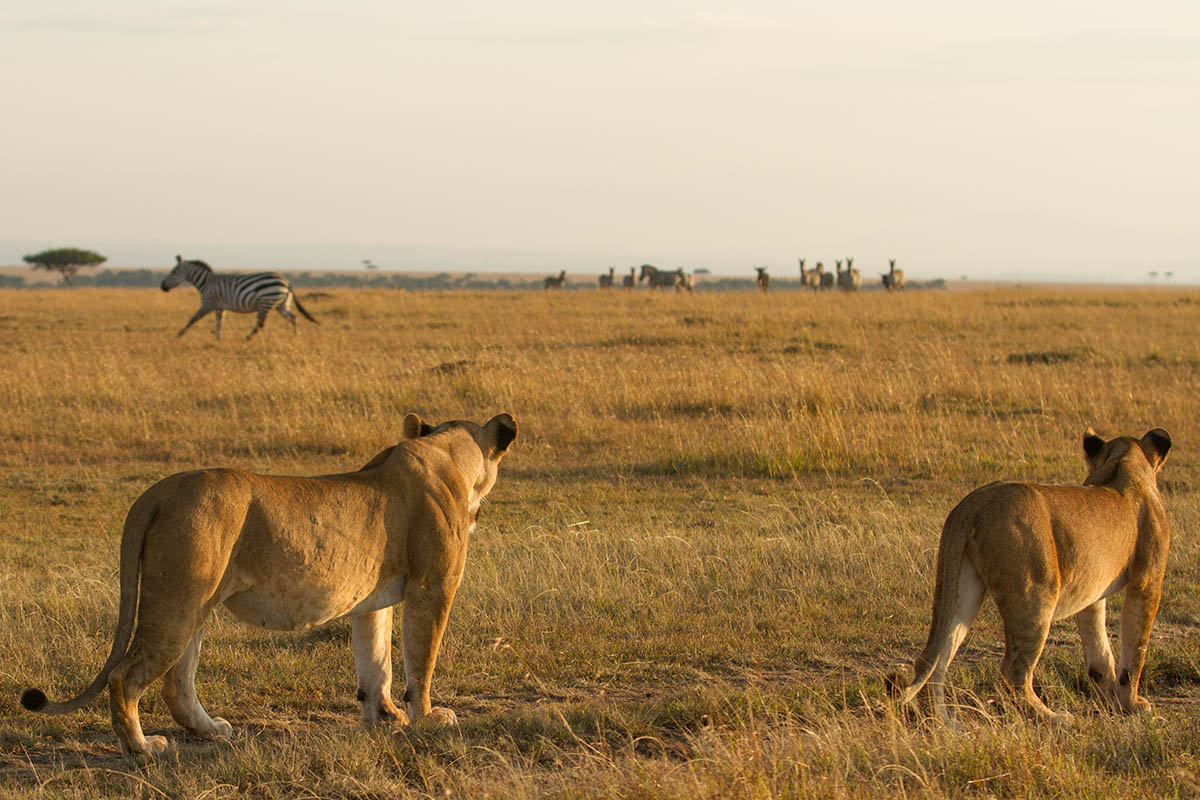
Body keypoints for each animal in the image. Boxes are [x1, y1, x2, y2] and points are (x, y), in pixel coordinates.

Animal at [21, 412, 517, 756]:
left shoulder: (371, 602)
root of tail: (155, 493)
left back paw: (212, 731)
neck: (447, 451)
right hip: (178, 602)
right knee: (125, 677)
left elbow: (376, 662)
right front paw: (428, 718)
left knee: (176, 683)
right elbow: (420, 660)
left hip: (194, 602)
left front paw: (386, 715)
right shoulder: (432, 587)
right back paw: (141, 748)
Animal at [891, 427, 1172, 723]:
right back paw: (1055, 718)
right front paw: (1132, 704)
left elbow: (1099, 648)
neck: (1123, 461)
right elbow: (1136, 648)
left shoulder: (1092, 593)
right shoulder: (1148, 581)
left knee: (933, 658)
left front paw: (1109, 699)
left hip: (960, 589)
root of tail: (974, 503)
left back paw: (945, 723)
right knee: (1012, 673)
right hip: (1036, 595)